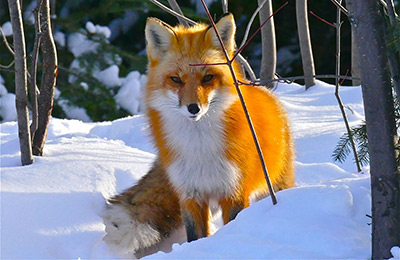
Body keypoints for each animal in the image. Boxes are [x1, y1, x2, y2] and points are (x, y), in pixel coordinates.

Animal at [102, 13, 294, 256]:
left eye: (208, 78)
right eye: (176, 79)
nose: (193, 108)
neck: (199, 148)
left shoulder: (233, 192)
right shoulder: (189, 194)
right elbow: (195, 236)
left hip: (277, 183)